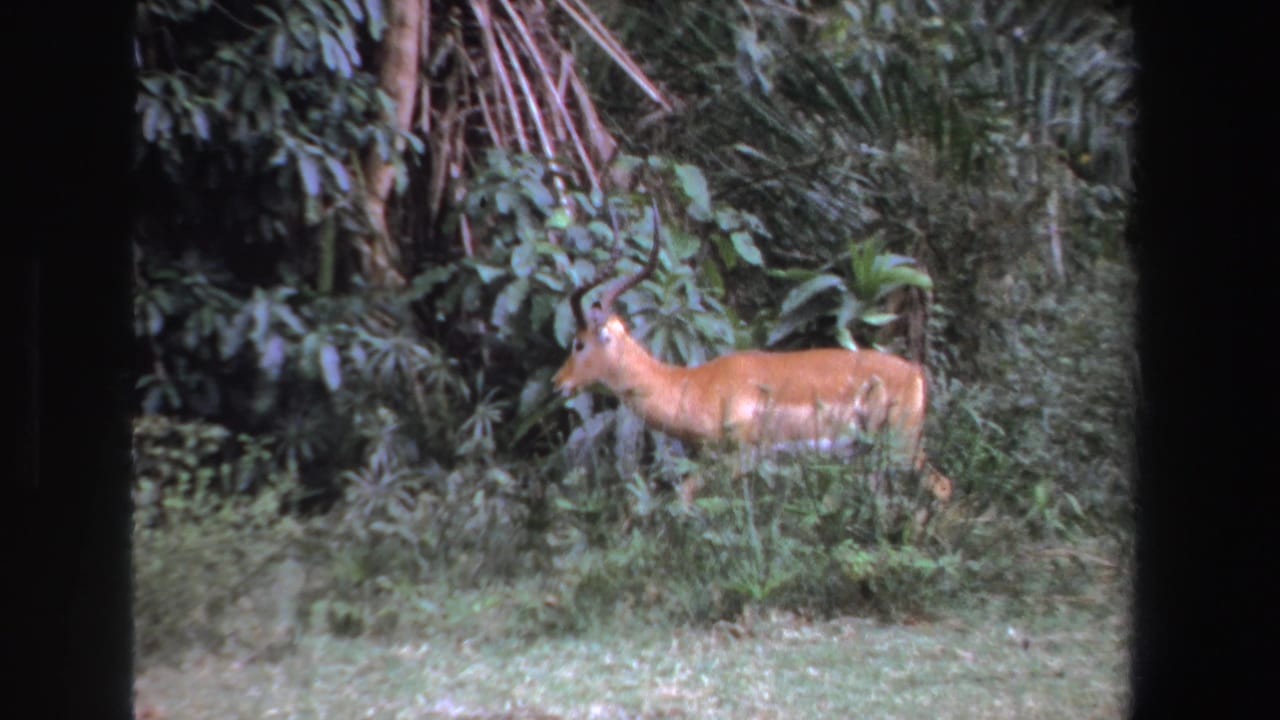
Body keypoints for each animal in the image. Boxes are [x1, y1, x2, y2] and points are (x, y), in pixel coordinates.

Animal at [553, 203, 952, 504]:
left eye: (579, 342)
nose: (558, 383)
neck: (693, 385)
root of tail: (915, 373)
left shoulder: (740, 456)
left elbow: (685, 500)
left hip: (899, 447)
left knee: (941, 488)